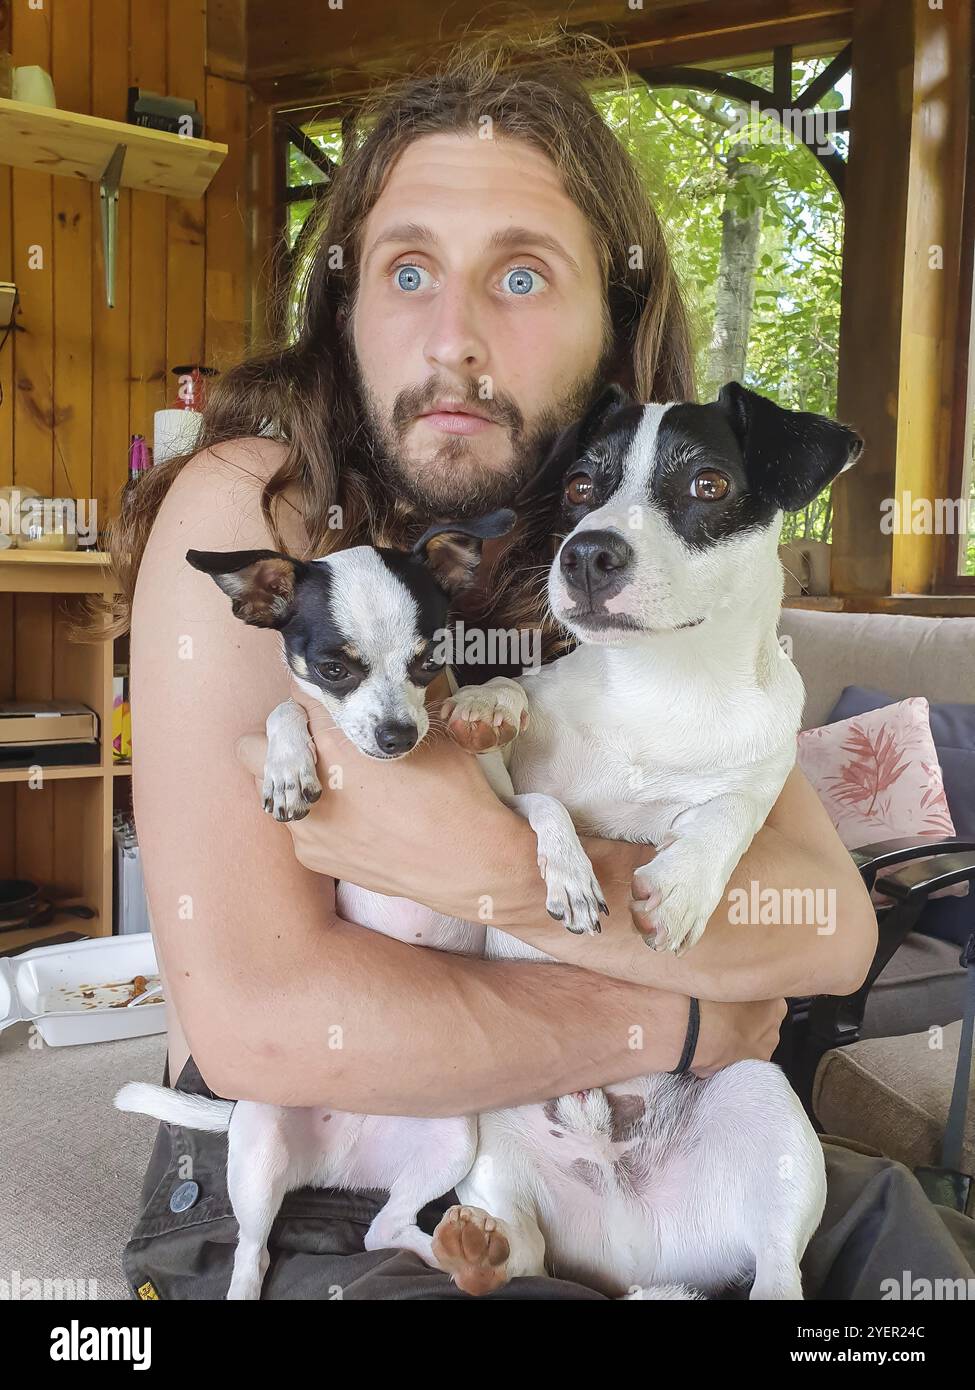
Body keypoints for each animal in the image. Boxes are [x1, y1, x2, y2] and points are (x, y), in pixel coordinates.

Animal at [119, 383, 856, 1301]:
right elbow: (319, 711)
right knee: (318, 1246)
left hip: (744, 1106)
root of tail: (633, 1256)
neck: (659, 688)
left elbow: (717, 814)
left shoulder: (751, 779)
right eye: (580, 487)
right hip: (325, 1144)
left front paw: (667, 883)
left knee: (769, 1270)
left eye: (709, 485)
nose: (586, 552)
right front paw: (319, 756)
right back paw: (456, 1250)